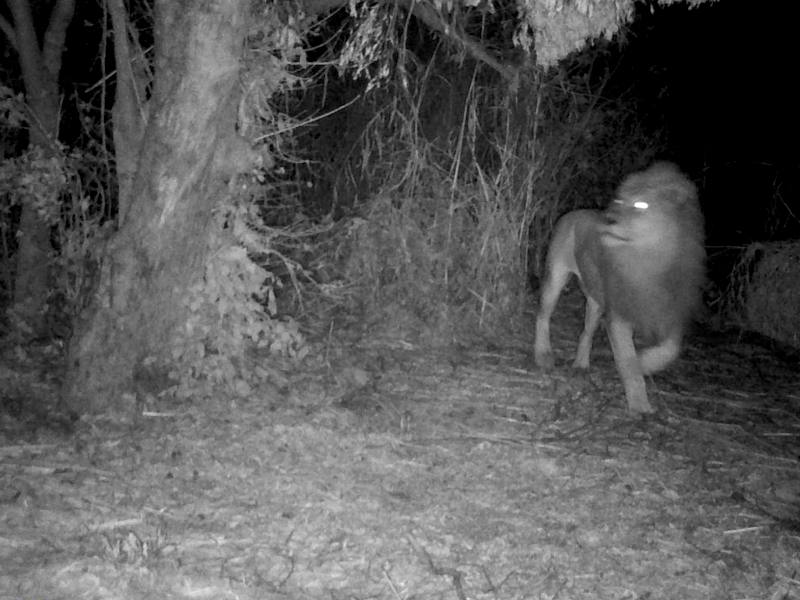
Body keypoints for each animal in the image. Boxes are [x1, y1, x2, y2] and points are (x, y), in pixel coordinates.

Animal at [533, 162, 706, 413]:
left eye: (641, 205)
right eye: (619, 201)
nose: (608, 220)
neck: (648, 261)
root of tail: (574, 212)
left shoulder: (670, 311)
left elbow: (670, 349)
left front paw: (645, 362)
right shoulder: (619, 316)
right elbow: (628, 361)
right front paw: (640, 405)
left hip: (595, 300)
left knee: (587, 331)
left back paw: (581, 365)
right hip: (556, 276)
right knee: (543, 315)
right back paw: (543, 355)